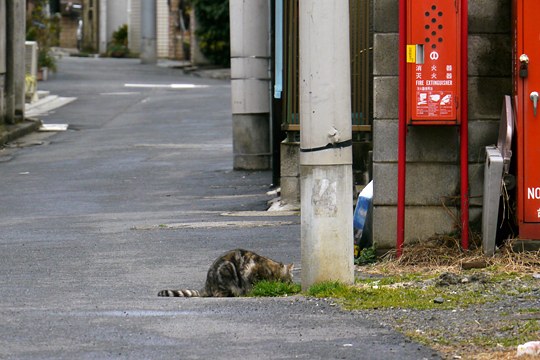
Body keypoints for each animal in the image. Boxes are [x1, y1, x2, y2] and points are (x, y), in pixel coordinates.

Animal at [158, 249, 294, 296]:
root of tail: (207, 284)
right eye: (290, 281)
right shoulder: (249, 272)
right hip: (227, 269)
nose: (292, 285)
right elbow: (251, 284)